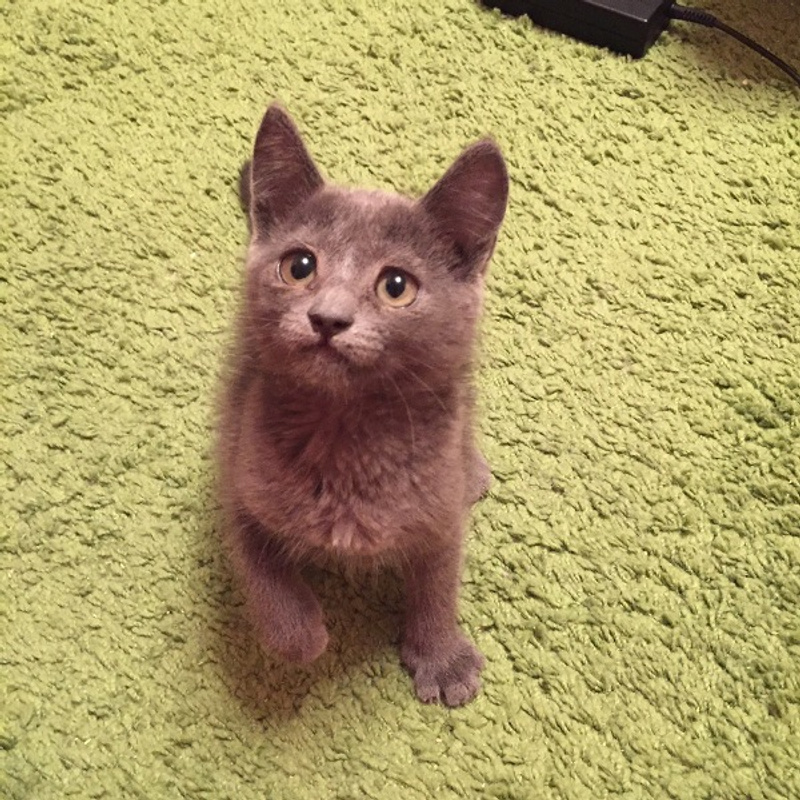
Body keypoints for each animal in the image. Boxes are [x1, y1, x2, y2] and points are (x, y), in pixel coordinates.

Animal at [218, 104, 508, 706]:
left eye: (396, 286)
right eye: (299, 266)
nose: (328, 318)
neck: (344, 430)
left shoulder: (438, 511)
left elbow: (439, 580)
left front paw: (441, 658)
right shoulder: (237, 472)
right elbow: (268, 586)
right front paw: (307, 635)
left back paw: (473, 472)